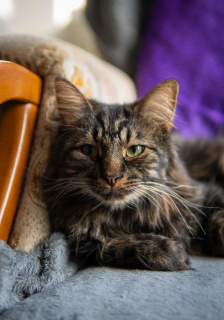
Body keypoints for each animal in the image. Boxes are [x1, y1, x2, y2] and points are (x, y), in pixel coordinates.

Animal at [43, 77, 224, 270]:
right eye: (89, 150)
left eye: (134, 150)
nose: (111, 177)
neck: (127, 216)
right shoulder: (86, 241)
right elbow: (118, 247)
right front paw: (171, 252)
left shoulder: (207, 193)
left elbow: (219, 220)